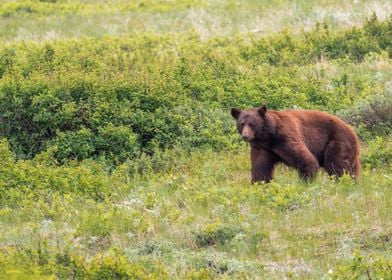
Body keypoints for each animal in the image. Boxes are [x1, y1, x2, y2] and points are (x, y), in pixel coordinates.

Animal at [231, 104, 360, 182]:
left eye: (252, 124)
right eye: (242, 124)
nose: (246, 136)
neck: (268, 136)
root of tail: (352, 131)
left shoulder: (285, 138)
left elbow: (306, 160)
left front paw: (307, 182)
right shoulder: (262, 148)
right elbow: (260, 167)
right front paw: (259, 183)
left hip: (338, 141)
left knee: (338, 166)